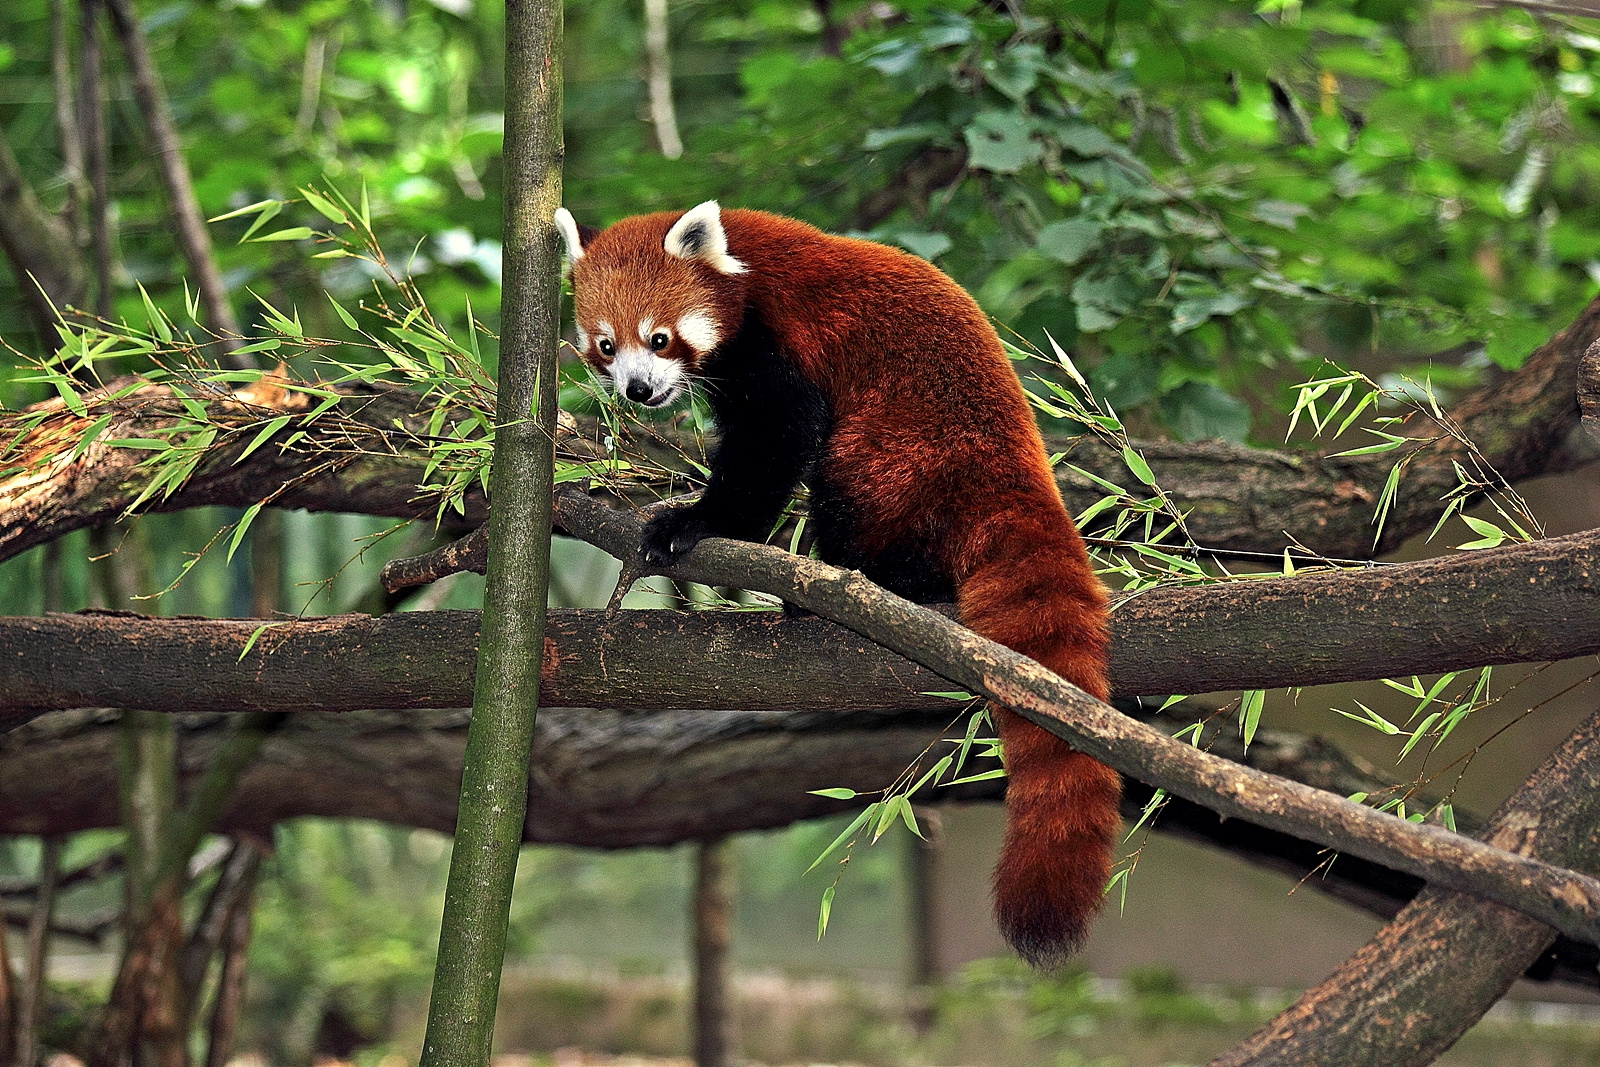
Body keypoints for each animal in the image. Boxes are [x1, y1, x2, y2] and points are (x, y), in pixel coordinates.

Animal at [556, 199, 1120, 966]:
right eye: (607, 346)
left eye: (660, 338)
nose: (639, 390)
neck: (741, 266)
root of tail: (1015, 471)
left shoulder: (776, 340)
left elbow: (779, 436)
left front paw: (697, 521)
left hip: (897, 447)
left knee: (853, 481)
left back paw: (848, 584)